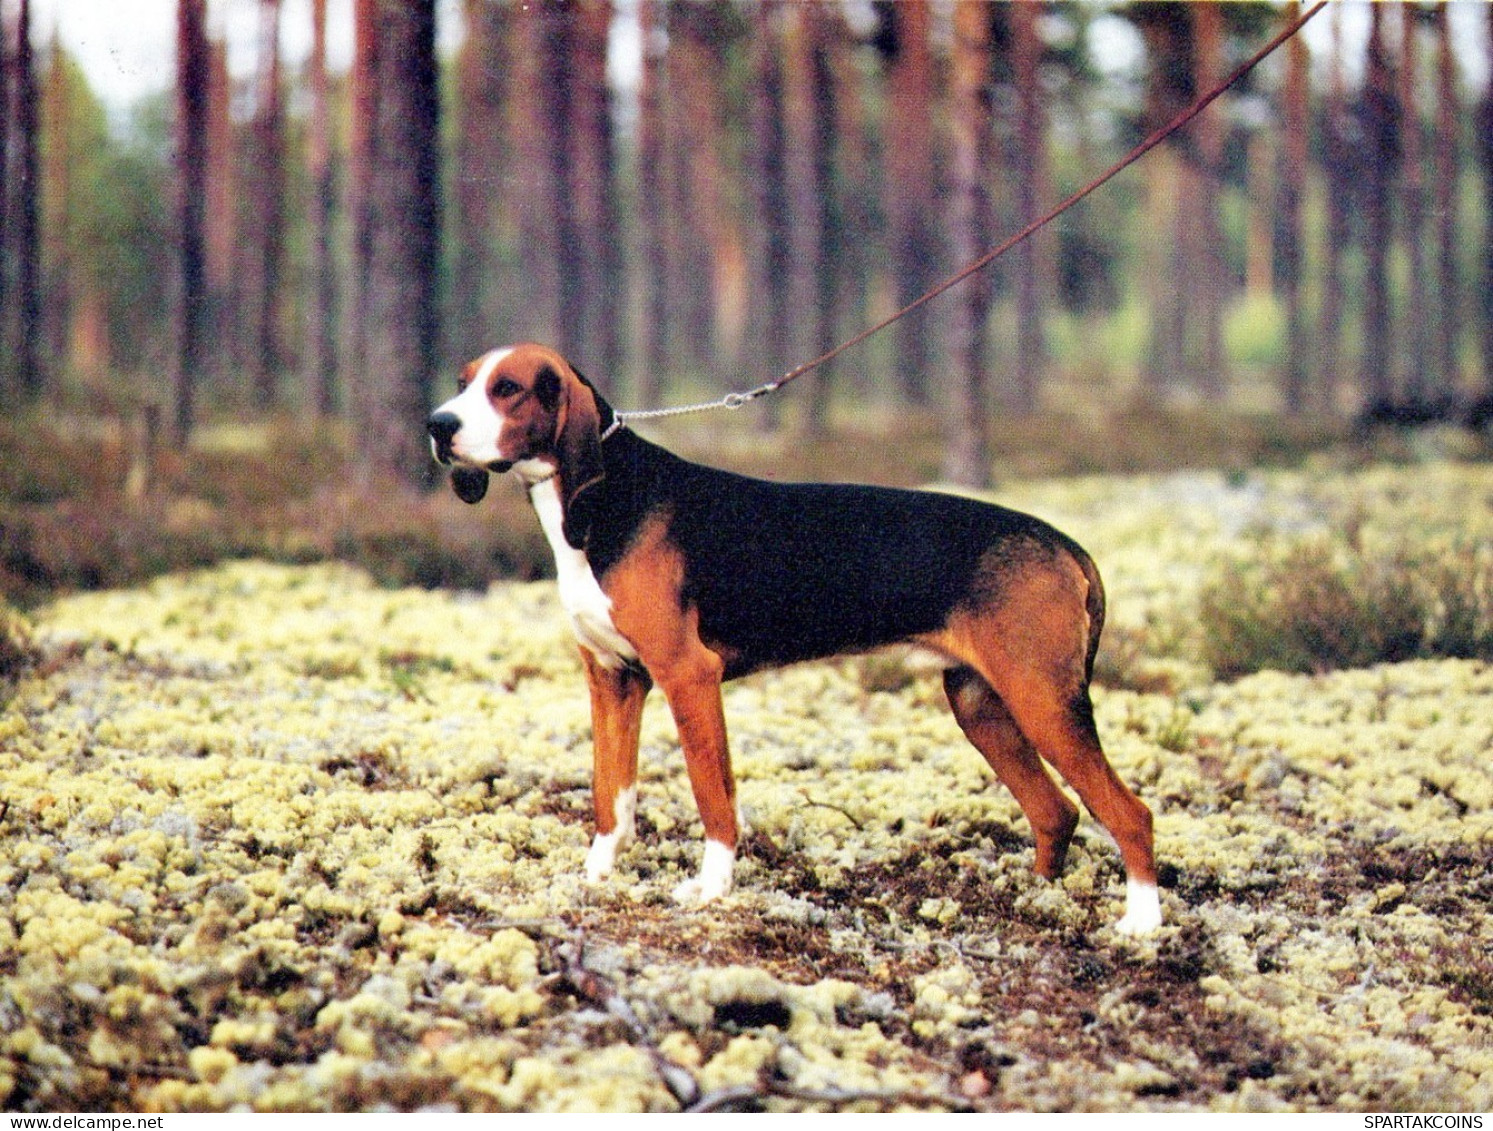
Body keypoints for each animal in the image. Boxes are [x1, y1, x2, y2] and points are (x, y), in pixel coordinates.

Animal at [426, 346, 1158, 937]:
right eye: (463, 382)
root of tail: (1062, 542)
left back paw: (1142, 922)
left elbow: (712, 794)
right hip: (982, 707)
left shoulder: (688, 676)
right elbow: (612, 792)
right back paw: (1036, 899)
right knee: (1056, 813)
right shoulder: (612, 678)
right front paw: (597, 872)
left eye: (508, 388)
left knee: (1131, 813)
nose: (437, 425)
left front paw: (711, 887)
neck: (603, 501)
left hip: (1043, 703)